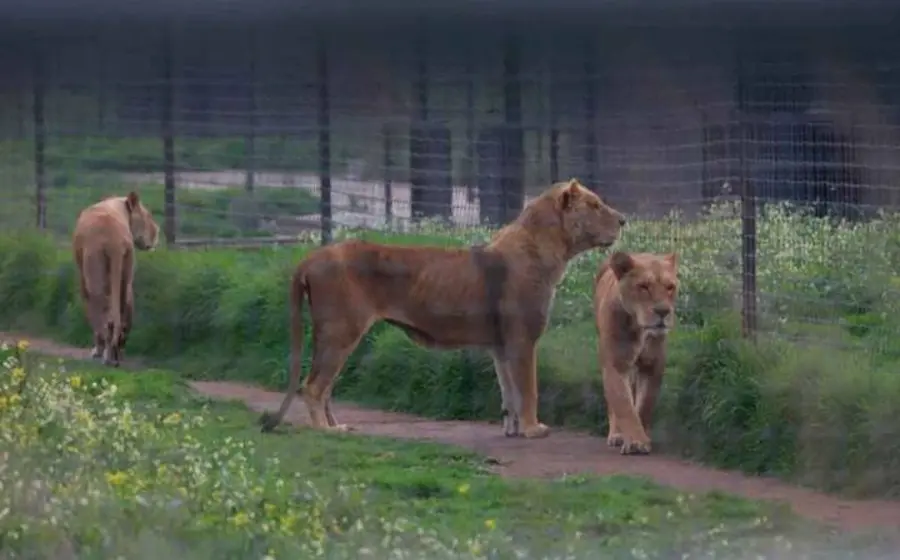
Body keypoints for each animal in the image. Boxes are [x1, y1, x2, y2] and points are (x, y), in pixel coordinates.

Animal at [72, 191, 159, 367]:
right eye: (148, 215)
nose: (158, 231)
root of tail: (115, 239)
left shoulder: (83, 279)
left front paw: (96, 351)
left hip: (95, 276)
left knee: (106, 315)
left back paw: (106, 356)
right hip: (126, 276)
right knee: (124, 315)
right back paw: (117, 355)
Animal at [259, 178, 627, 438]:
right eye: (595, 205)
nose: (624, 220)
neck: (548, 249)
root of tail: (311, 257)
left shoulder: (500, 345)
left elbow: (509, 392)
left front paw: (513, 429)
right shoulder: (522, 340)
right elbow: (528, 389)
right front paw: (534, 429)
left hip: (336, 336)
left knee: (323, 387)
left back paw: (338, 427)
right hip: (341, 331)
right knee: (313, 387)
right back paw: (325, 432)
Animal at [594, 251, 679, 455]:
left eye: (670, 287)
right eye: (643, 287)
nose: (663, 311)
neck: (639, 328)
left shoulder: (653, 366)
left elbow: (644, 404)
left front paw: (642, 438)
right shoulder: (616, 364)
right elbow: (624, 404)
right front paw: (635, 441)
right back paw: (616, 435)